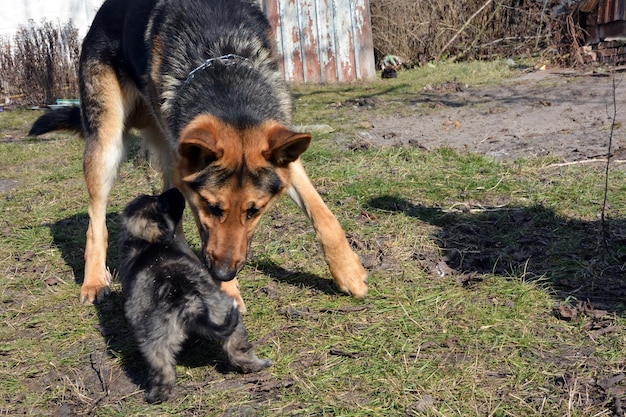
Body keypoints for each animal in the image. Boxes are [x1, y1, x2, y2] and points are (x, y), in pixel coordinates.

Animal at [29, 0, 368, 308]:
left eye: (254, 211)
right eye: (213, 207)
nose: (224, 272)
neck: (219, 59)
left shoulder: (282, 154)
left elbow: (322, 213)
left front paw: (348, 271)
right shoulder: (196, 189)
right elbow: (207, 234)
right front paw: (227, 294)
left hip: (169, 156)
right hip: (108, 144)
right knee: (95, 221)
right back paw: (95, 279)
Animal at [117, 187, 270, 402]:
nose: (174, 189)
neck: (150, 244)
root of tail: (191, 303)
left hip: (154, 340)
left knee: (162, 369)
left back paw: (156, 395)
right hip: (228, 315)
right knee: (238, 349)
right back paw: (256, 365)